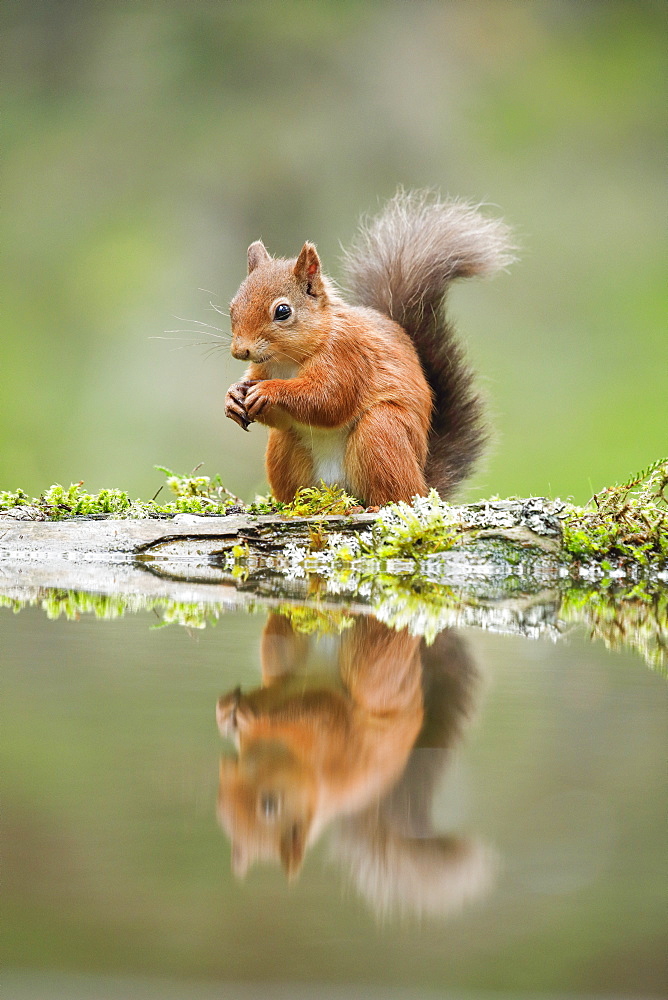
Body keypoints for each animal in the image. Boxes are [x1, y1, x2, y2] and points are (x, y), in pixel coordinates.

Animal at [224, 191, 512, 508]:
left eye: (283, 311)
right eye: (232, 308)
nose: (240, 351)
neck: (288, 360)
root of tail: (423, 486)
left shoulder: (347, 355)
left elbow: (328, 399)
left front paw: (269, 390)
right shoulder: (264, 368)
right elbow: (282, 412)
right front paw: (233, 396)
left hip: (381, 431)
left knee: (396, 494)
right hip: (284, 446)